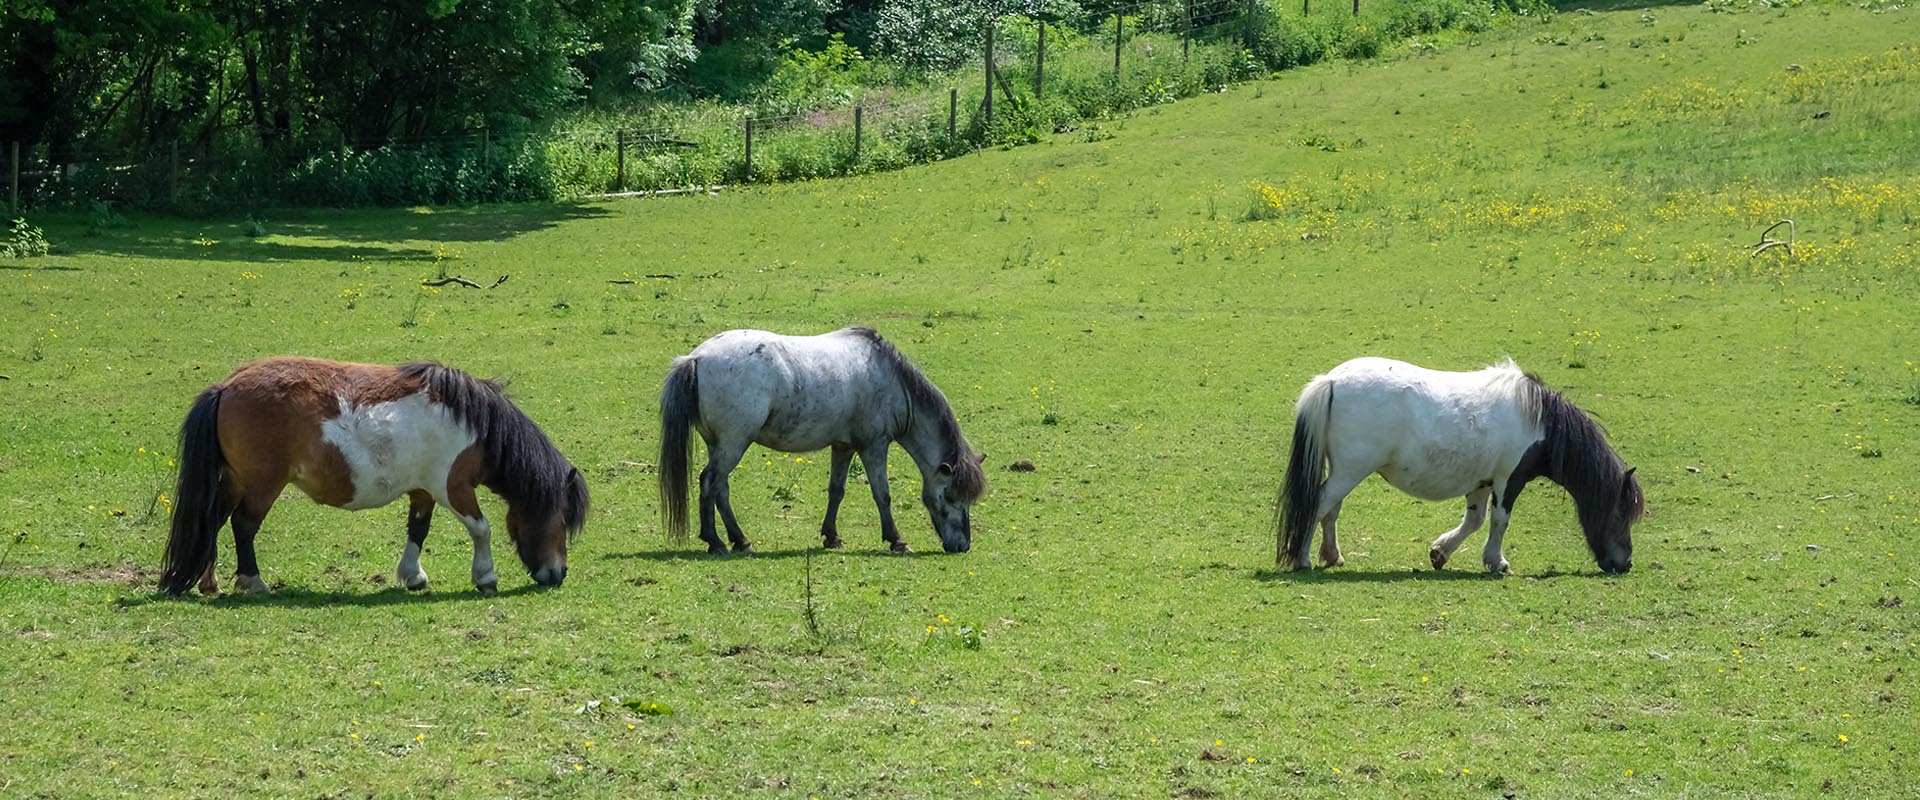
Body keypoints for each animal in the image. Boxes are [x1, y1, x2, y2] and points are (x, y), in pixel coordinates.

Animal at [159, 358, 583, 594]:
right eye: (562, 518)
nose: (558, 573)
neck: (472, 423)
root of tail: (227, 385)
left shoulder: (423, 491)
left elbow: (418, 530)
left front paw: (413, 576)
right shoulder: (453, 488)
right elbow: (481, 529)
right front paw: (485, 577)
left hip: (234, 481)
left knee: (212, 523)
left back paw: (209, 583)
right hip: (262, 485)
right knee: (243, 525)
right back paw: (253, 582)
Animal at [660, 328, 990, 552]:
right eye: (950, 496)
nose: (962, 545)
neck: (891, 380)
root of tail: (697, 358)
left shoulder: (844, 447)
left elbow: (836, 491)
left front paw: (832, 536)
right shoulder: (874, 445)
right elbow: (882, 494)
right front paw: (896, 540)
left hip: (721, 444)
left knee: (720, 488)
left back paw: (740, 540)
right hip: (733, 443)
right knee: (709, 482)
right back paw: (715, 541)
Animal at [1282, 356, 1643, 575]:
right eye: (1619, 515)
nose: (1624, 563)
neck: (1539, 421)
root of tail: (1331, 381)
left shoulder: (1482, 482)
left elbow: (1474, 520)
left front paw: (1440, 552)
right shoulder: (1507, 480)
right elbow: (1499, 521)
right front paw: (1497, 563)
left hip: (1343, 471)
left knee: (1331, 509)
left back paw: (1332, 555)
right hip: (1350, 471)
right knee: (1319, 504)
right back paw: (1302, 559)